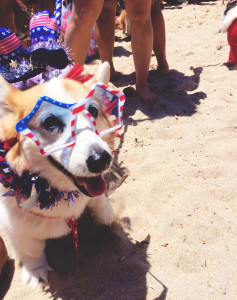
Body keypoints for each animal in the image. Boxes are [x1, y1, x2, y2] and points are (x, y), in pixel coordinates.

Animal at [0, 62, 123, 288]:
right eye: (50, 122)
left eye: (93, 111)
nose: (101, 159)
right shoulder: (15, 229)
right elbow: (31, 252)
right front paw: (36, 273)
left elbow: (99, 199)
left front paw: (105, 214)